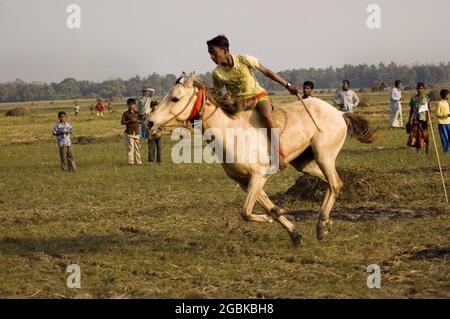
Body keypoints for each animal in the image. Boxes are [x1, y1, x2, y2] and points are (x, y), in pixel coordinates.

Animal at [148, 77, 376, 248]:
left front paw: (271, 218)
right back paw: (326, 223)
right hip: (306, 165)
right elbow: (268, 207)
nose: (149, 121)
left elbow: (246, 212)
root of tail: (339, 113)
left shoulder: (257, 178)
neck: (232, 134)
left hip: (323, 156)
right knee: (332, 184)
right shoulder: (245, 182)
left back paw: (321, 226)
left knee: (335, 184)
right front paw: (294, 234)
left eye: (175, 98)